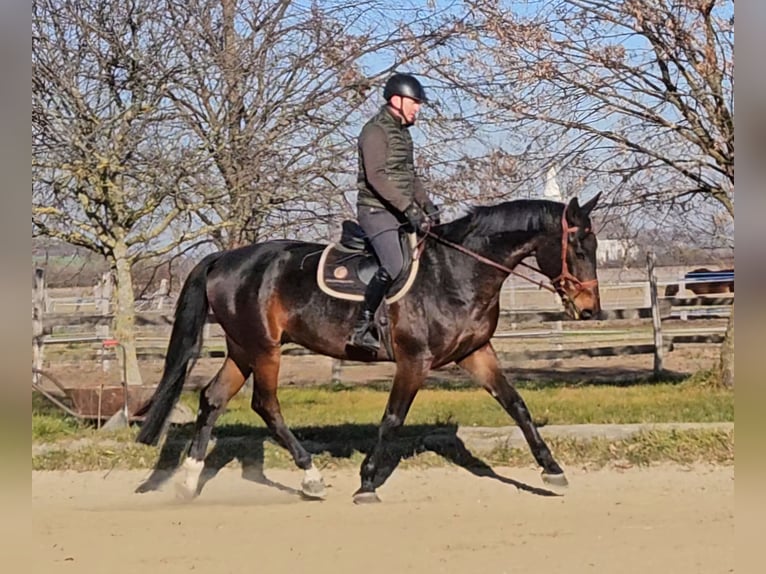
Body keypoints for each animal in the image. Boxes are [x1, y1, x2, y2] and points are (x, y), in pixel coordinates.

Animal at [138, 195, 608, 504]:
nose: (589, 309)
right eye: (578, 247)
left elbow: (516, 405)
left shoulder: (476, 352)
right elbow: (393, 419)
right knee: (265, 405)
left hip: (243, 348)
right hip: (265, 350)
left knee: (213, 398)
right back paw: (310, 477)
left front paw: (552, 470)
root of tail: (224, 258)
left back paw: (188, 482)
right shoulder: (414, 361)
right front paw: (366, 483)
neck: (456, 270)